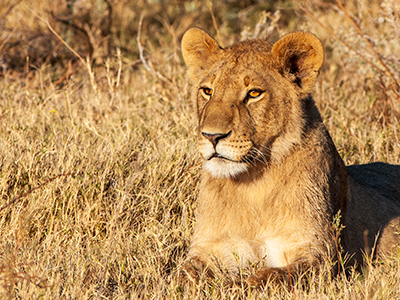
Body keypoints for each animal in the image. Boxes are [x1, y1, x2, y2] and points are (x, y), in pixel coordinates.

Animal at [180, 27, 400, 284]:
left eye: (254, 93)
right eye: (207, 91)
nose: (212, 136)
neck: (251, 185)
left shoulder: (319, 255)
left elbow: (269, 278)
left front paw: (239, 285)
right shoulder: (209, 248)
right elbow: (181, 275)